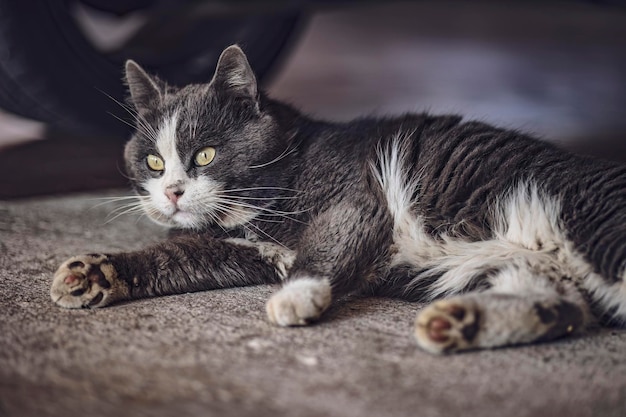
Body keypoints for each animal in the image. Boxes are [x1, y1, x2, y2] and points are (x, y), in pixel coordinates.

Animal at [50, 44, 624, 352]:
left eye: (207, 155)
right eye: (152, 162)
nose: (171, 192)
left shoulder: (358, 195)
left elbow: (326, 244)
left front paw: (294, 297)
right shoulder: (230, 250)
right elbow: (175, 258)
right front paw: (93, 274)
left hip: (595, 225)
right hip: (524, 268)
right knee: (561, 307)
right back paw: (456, 322)